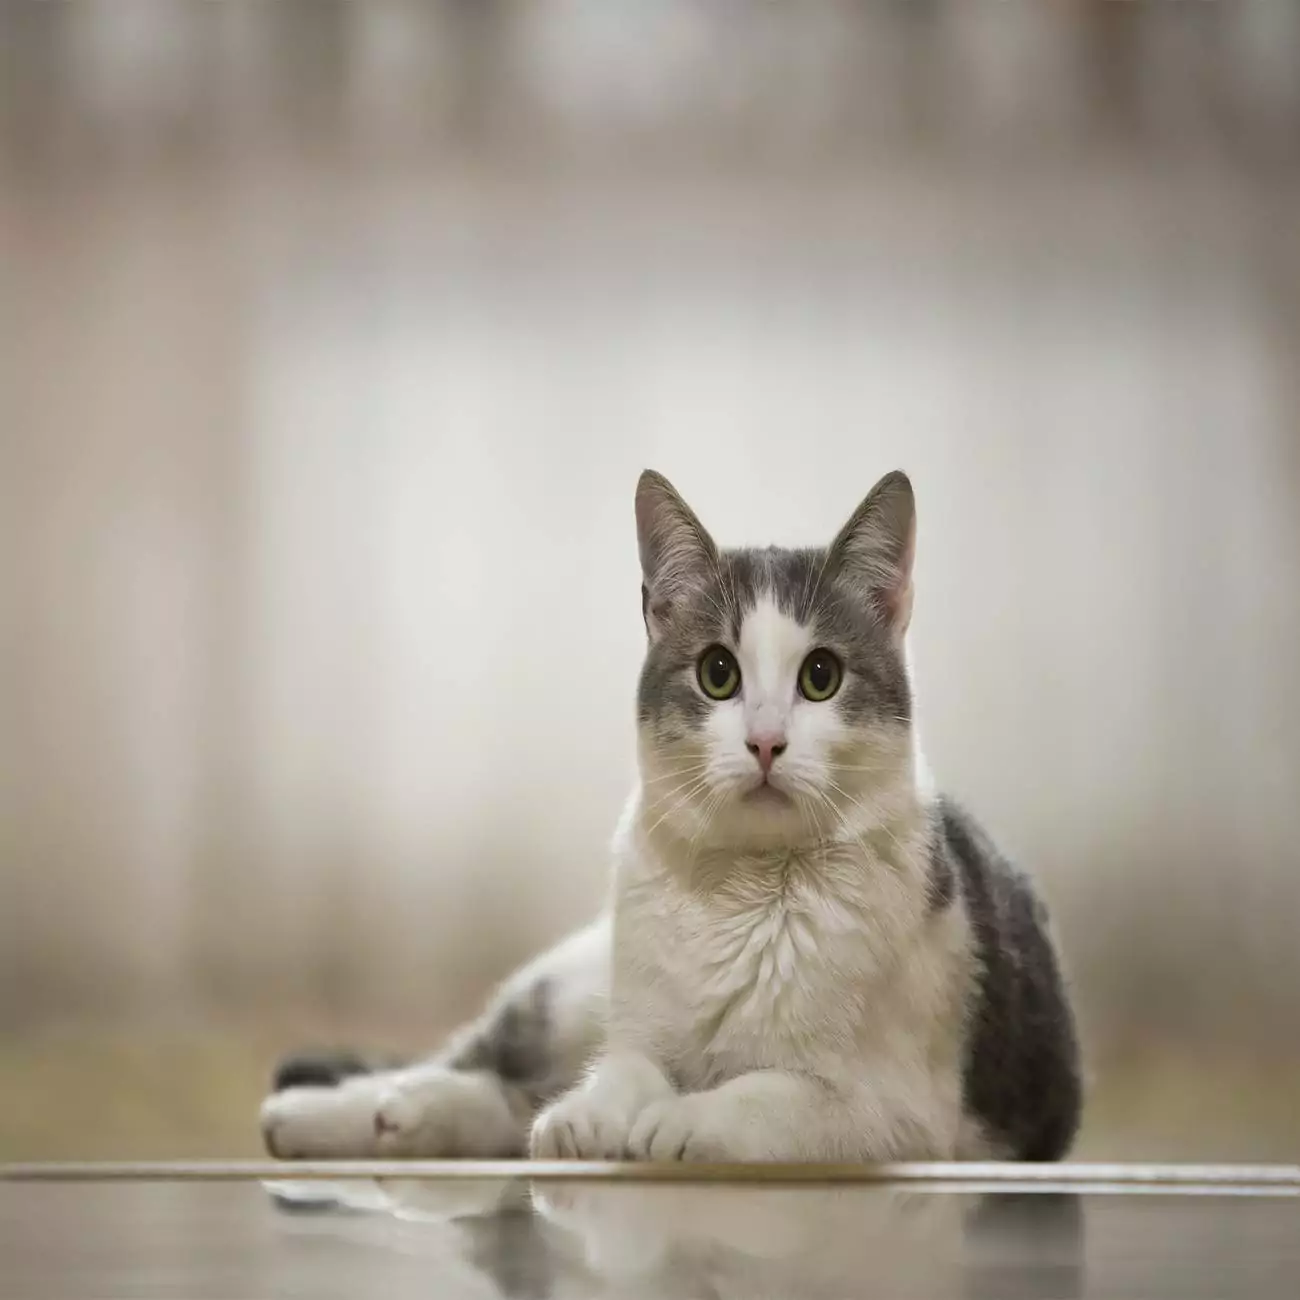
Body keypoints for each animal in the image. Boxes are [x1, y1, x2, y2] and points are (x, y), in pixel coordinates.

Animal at [258, 473, 1081, 1164]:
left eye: (821, 677)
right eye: (718, 673)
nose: (765, 741)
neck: (746, 895)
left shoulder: (895, 1111)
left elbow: (769, 1094)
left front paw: (684, 1120)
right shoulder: (634, 1030)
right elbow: (626, 1069)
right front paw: (598, 1113)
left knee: (505, 1101)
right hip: (570, 988)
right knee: (478, 1065)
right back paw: (338, 1111)